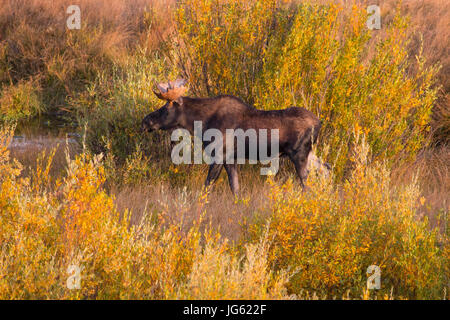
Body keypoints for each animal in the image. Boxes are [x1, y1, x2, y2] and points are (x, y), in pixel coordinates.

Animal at [142, 79, 322, 194]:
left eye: (166, 108)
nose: (145, 121)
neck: (202, 123)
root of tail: (319, 122)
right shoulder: (230, 159)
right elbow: (235, 188)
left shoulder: (219, 155)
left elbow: (207, 186)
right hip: (310, 153)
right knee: (325, 170)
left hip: (299, 154)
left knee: (307, 183)